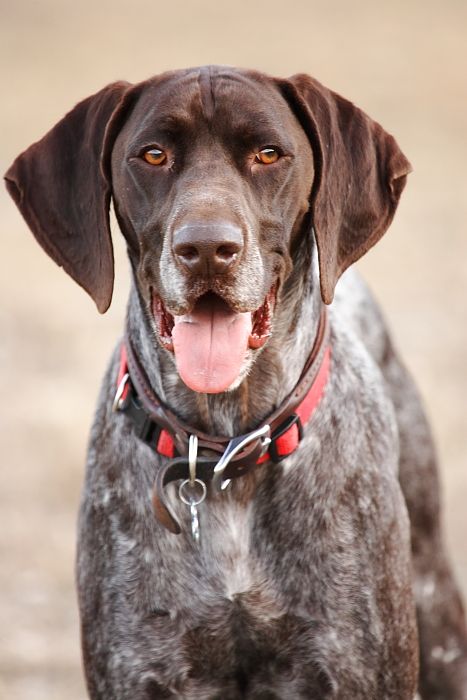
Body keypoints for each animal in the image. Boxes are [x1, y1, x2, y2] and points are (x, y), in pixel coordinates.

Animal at [6, 67, 467, 700]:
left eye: (268, 154)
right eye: (153, 155)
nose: (205, 249)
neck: (226, 450)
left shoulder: (356, 668)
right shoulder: (139, 670)